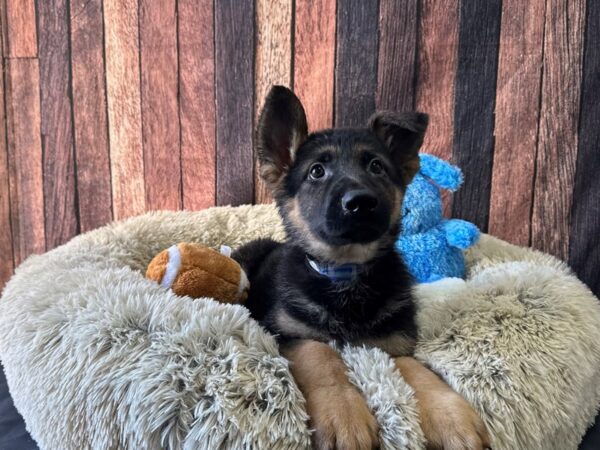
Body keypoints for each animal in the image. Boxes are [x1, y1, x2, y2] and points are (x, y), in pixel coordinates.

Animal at [232, 85, 490, 450]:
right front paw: (343, 415)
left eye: (376, 167)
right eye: (316, 171)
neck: (347, 273)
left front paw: (452, 417)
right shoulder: (289, 333)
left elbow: (418, 371)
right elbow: (321, 356)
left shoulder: (395, 344)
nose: (361, 203)